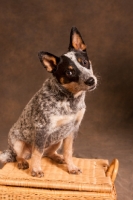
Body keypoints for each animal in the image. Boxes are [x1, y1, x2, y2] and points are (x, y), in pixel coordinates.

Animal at [0, 27, 97, 177]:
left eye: (84, 62)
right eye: (69, 72)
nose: (91, 80)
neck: (70, 100)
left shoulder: (72, 128)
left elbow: (68, 152)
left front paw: (71, 167)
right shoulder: (42, 128)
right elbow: (37, 153)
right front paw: (36, 170)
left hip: (58, 140)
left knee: (48, 153)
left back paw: (58, 157)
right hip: (17, 143)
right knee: (20, 155)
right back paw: (23, 162)